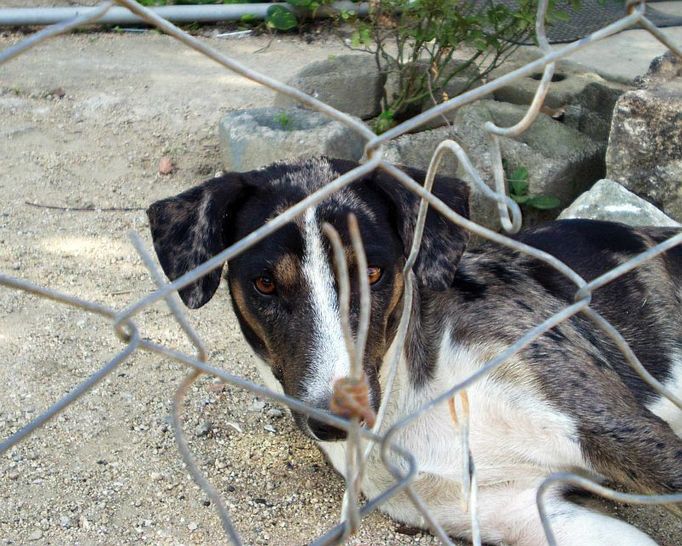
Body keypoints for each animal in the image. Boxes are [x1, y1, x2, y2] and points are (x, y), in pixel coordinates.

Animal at [149, 155, 680, 540]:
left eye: (374, 272)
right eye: (264, 284)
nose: (335, 418)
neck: (411, 403)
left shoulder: (626, 432)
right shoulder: (530, 511)